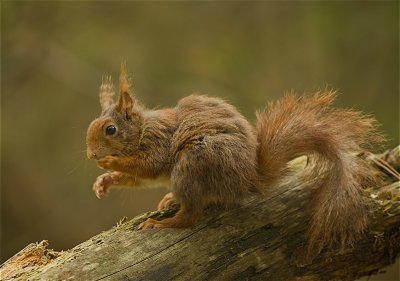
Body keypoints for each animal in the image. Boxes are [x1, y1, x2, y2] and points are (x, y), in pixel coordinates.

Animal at [86, 64, 382, 252]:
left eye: (110, 129)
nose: (90, 154)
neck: (141, 130)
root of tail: (247, 180)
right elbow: (138, 178)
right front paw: (104, 181)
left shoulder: (158, 142)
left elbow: (148, 165)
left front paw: (110, 163)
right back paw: (170, 199)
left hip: (192, 164)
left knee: (190, 216)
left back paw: (162, 223)